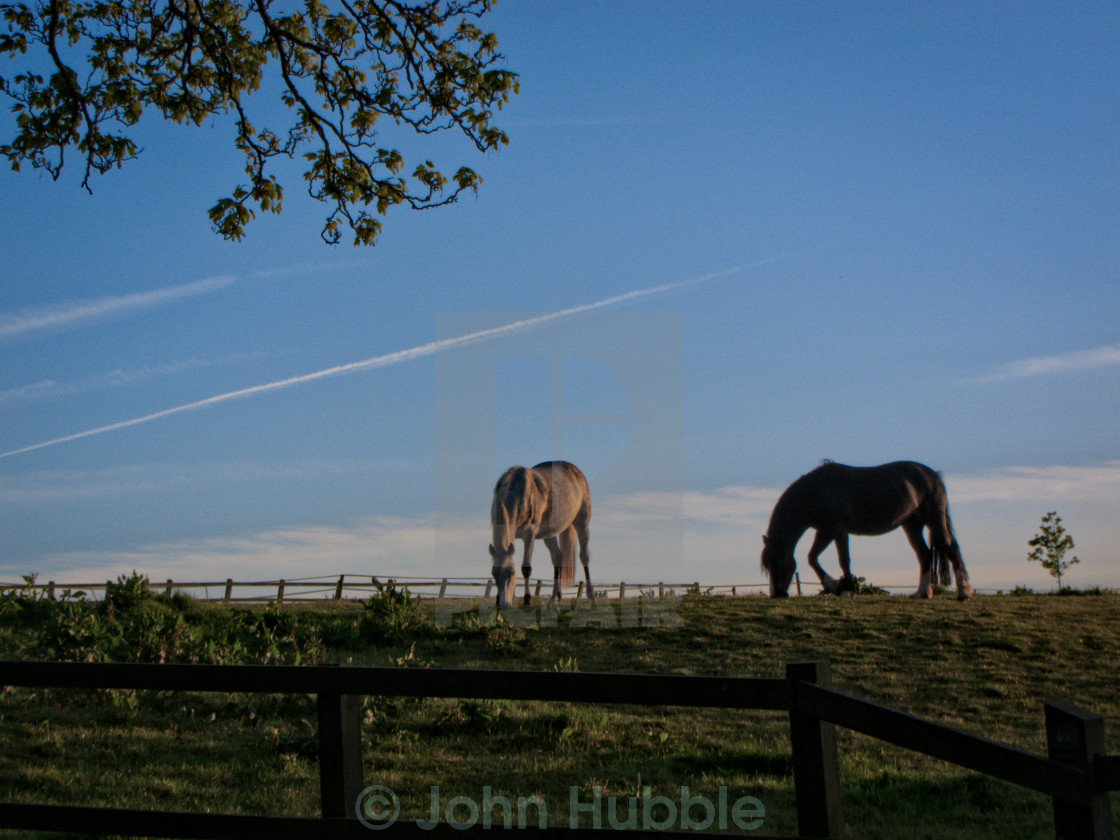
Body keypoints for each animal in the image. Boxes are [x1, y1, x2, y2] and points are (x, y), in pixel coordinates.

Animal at [490, 461, 595, 613]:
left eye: (511, 572)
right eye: (494, 574)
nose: (503, 605)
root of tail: (576, 471)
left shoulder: (529, 535)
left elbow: (526, 568)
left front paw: (527, 600)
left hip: (582, 523)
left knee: (584, 556)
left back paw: (591, 594)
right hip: (549, 534)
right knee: (557, 558)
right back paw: (555, 597)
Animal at [761, 463, 972, 600]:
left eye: (777, 562)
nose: (777, 594)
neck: (818, 490)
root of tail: (933, 475)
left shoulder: (838, 530)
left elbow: (843, 560)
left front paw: (846, 590)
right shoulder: (824, 531)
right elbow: (812, 558)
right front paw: (834, 586)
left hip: (934, 520)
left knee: (951, 548)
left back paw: (963, 593)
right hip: (912, 526)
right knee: (924, 554)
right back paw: (921, 593)